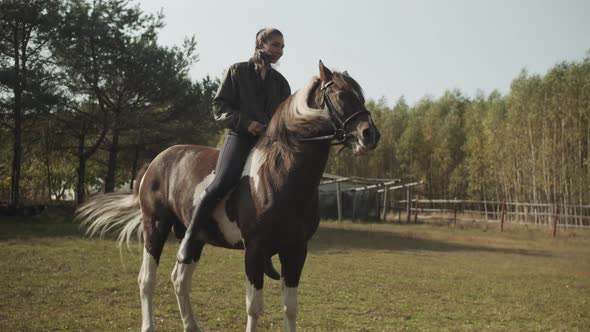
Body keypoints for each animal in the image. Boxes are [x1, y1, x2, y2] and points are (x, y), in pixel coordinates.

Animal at [77, 61, 380, 330]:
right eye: (340, 94)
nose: (370, 135)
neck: (280, 177)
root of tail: (156, 162)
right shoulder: (254, 251)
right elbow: (254, 307)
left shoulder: (296, 251)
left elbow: (290, 308)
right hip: (155, 227)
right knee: (146, 280)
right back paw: (149, 325)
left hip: (193, 238)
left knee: (179, 280)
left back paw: (191, 326)